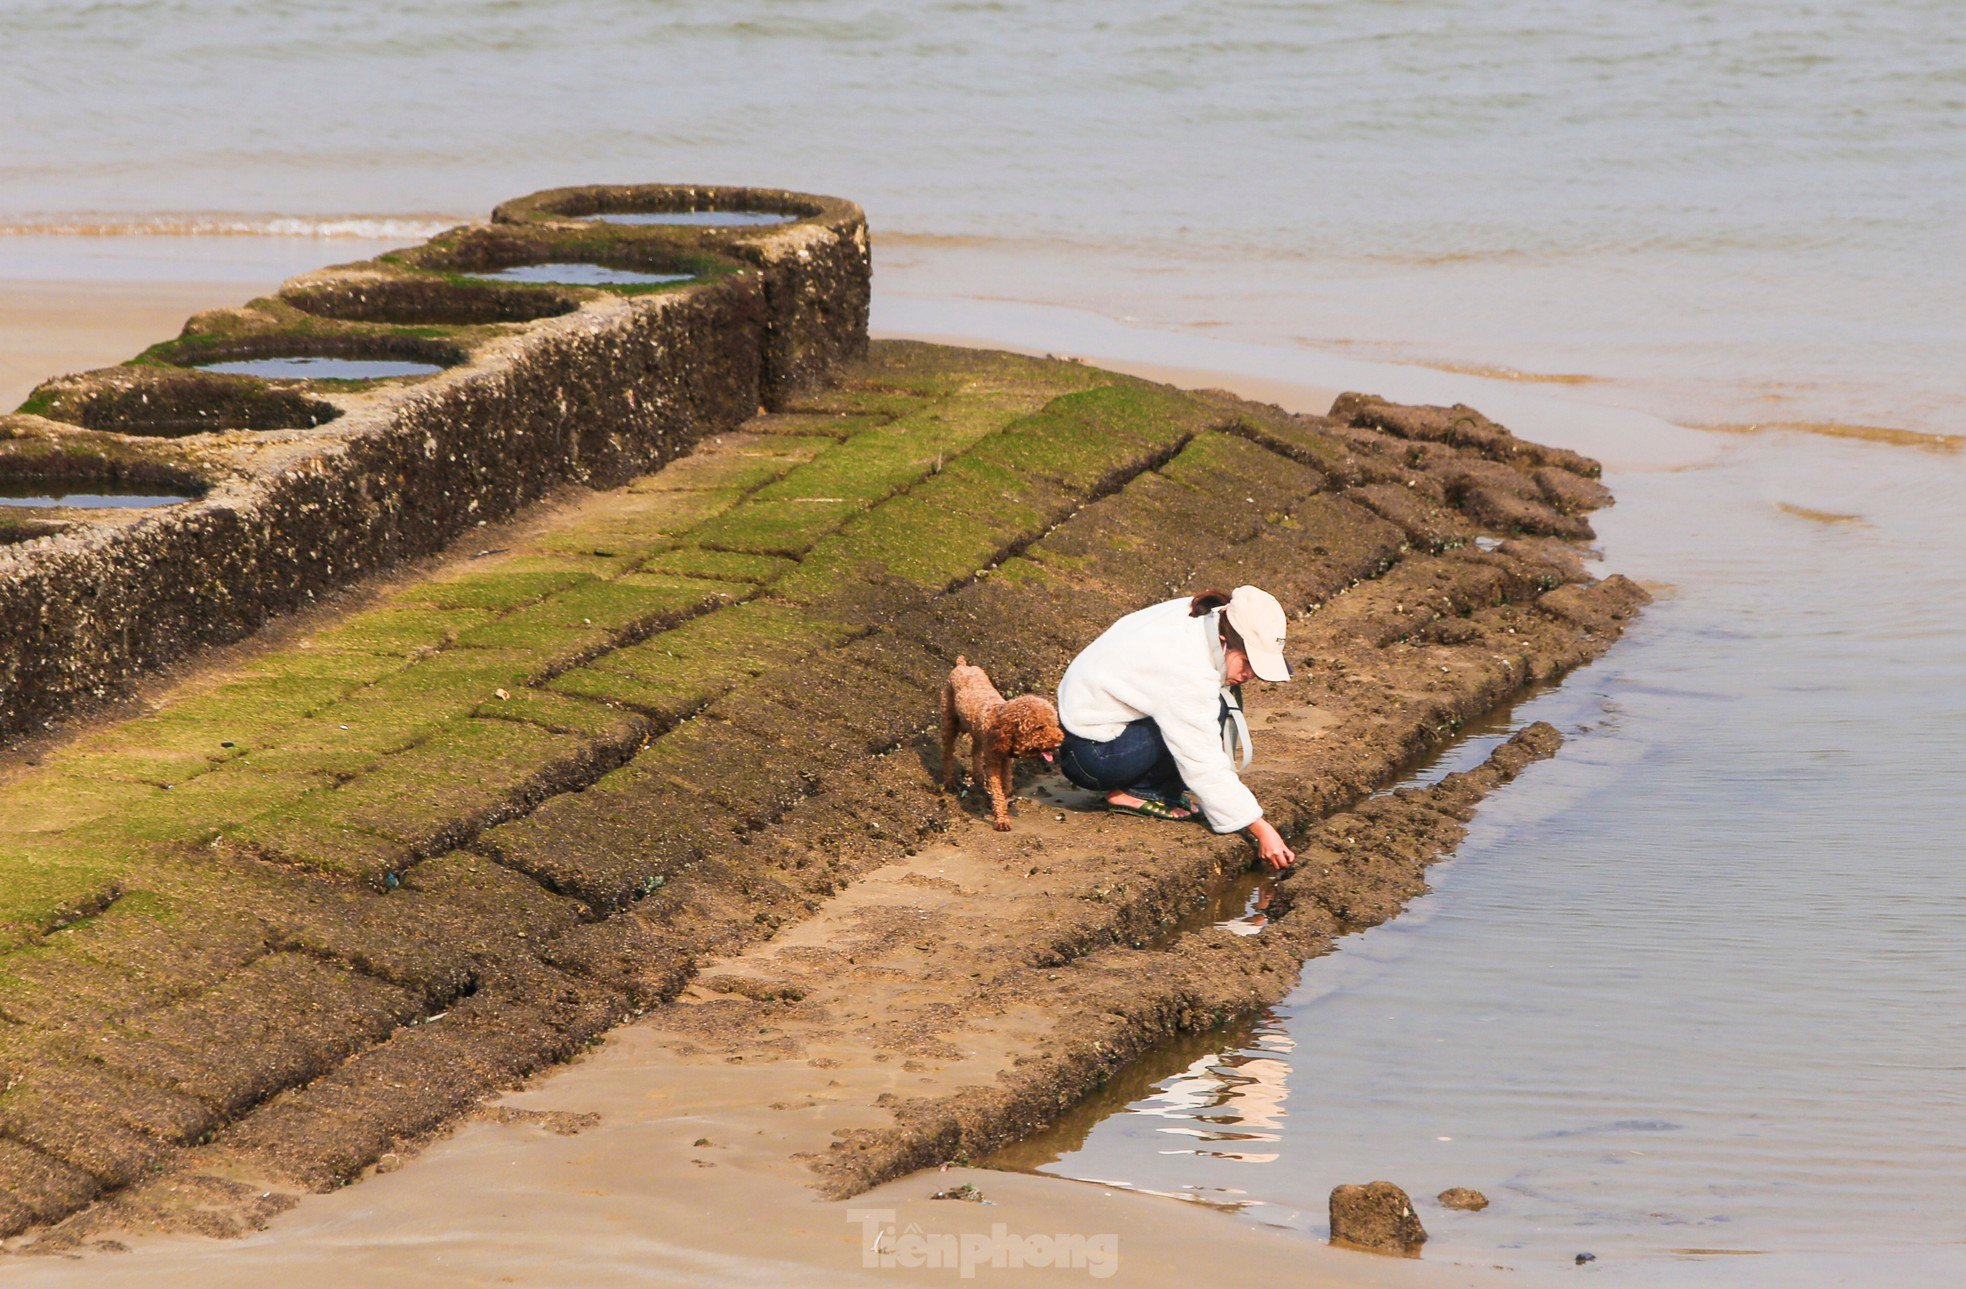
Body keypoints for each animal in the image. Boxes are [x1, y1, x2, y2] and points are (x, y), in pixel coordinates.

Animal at [943, 656, 1069, 837]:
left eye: (1054, 724)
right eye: (1039, 727)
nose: (1058, 743)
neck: (1002, 722)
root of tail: (962, 666)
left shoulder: (1005, 758)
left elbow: (1007, 779)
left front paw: (1007, 791)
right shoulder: (993, 762)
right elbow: (997, 792)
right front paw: (1002, 820)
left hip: (975, 731)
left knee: (975, 749)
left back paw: (978, 776)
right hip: (949, 722)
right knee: (947, 752)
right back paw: (949, 782)